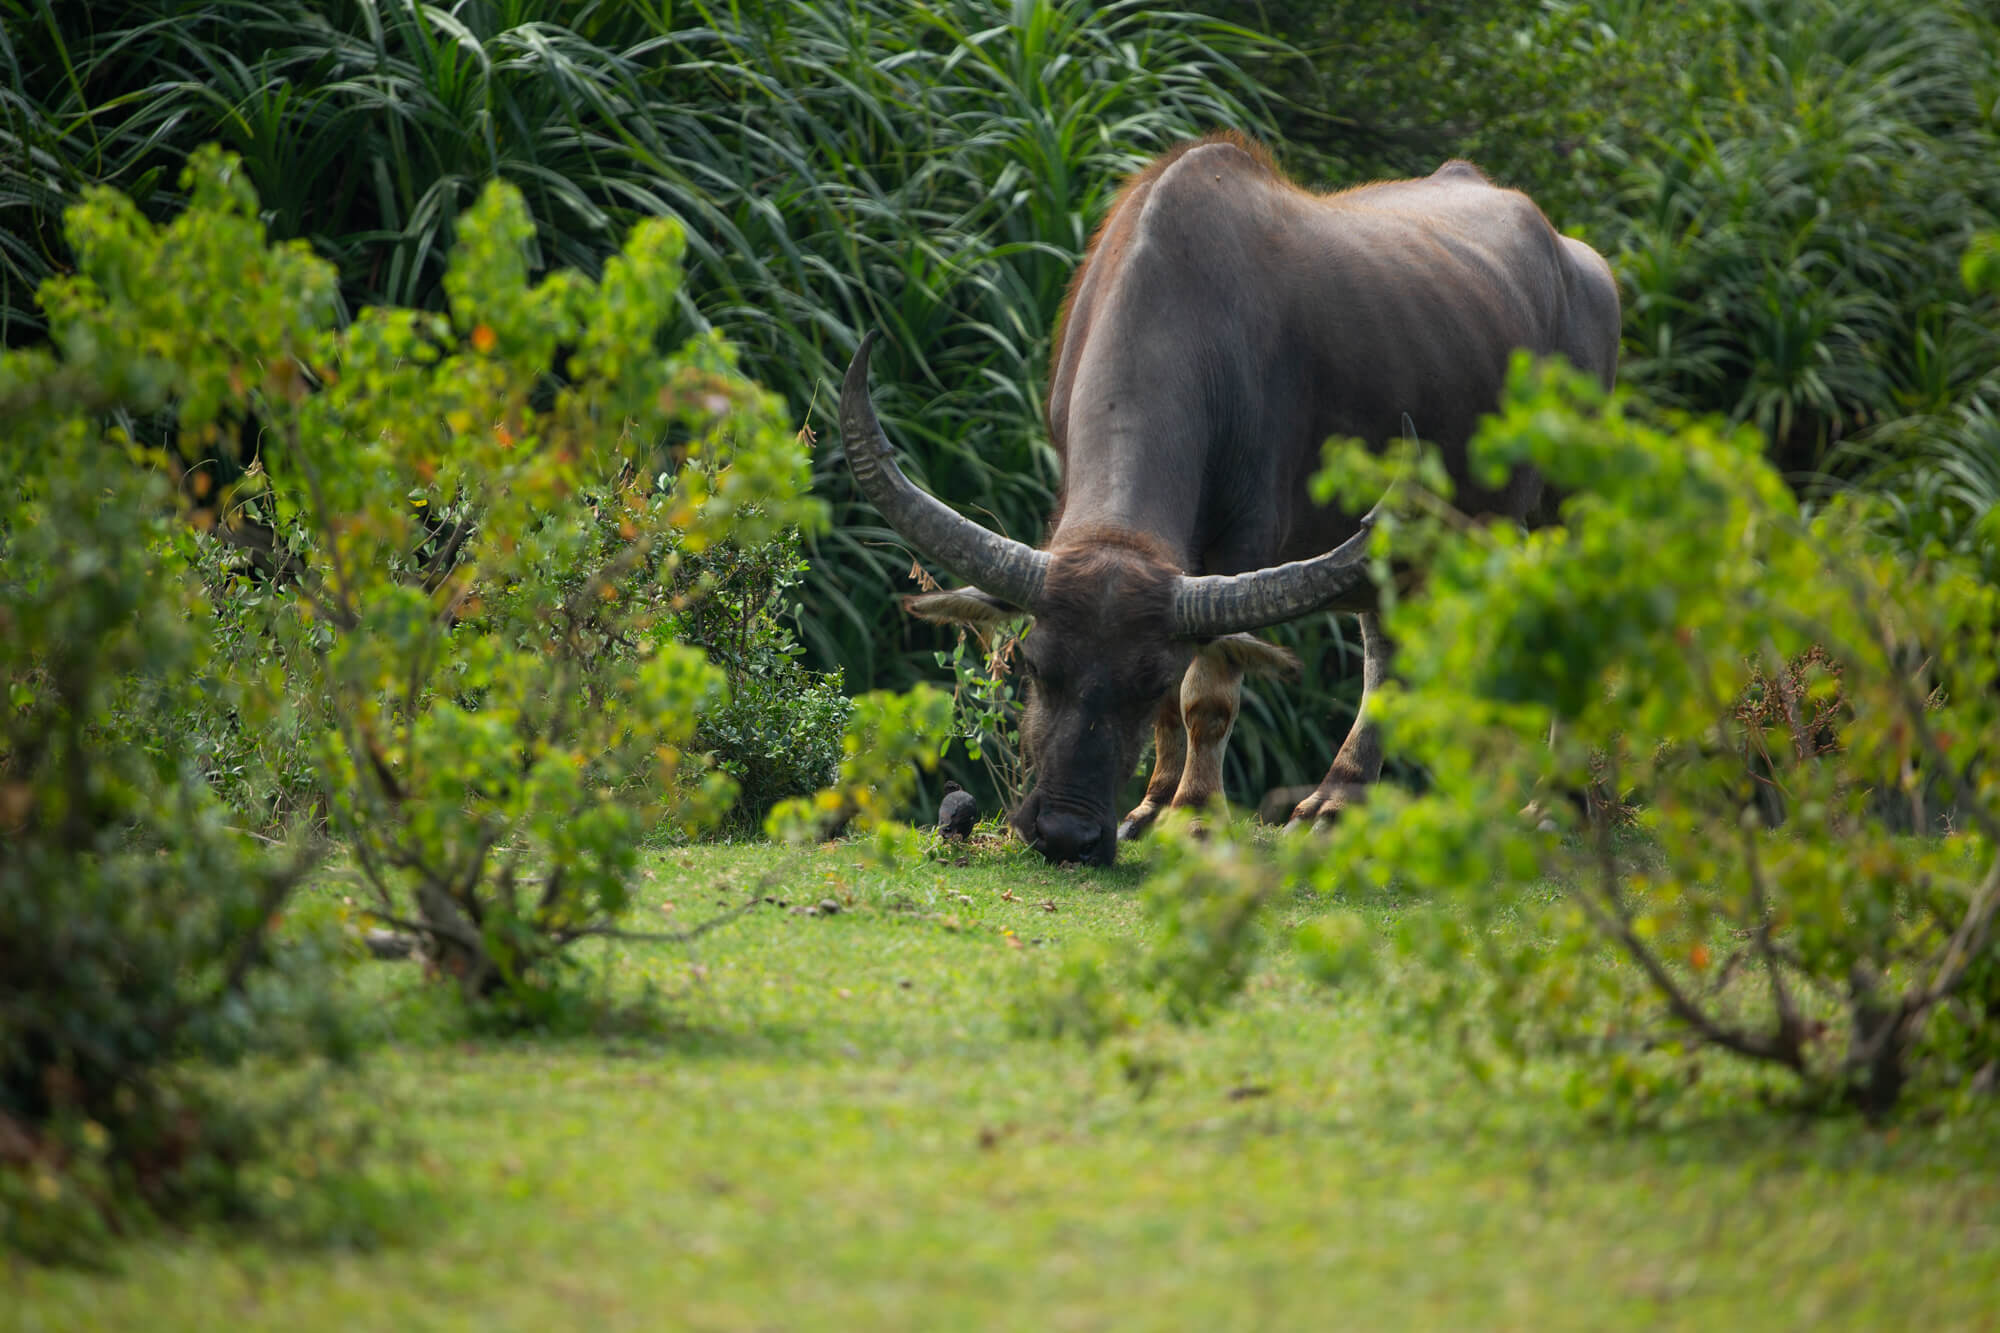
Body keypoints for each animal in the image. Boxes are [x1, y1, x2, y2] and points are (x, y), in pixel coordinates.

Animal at [836, 132, 1616, 860]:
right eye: (1031, 663)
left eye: (1149, 677)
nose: (1064, 833)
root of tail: (1582, 265)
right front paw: (1151, 807)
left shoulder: (1246, 538)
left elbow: (1207, 691)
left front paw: (1194, 813)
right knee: (1384, 645)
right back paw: (1336, 799)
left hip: (1563, 503)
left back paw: (1552, 804)